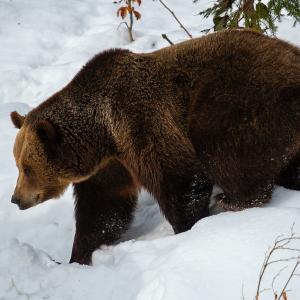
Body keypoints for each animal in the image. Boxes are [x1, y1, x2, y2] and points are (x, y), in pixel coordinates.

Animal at [9, 29, 300, 264]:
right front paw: (78, 256)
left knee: (226, 153)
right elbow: (103, 208)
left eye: (27, 168)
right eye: (18, 164)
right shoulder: (111, 164)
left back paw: (232, 200)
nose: (16, 199)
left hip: (238, 98)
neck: (104, 133)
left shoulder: (141, 121)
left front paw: (188, 228)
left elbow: (180, 178)